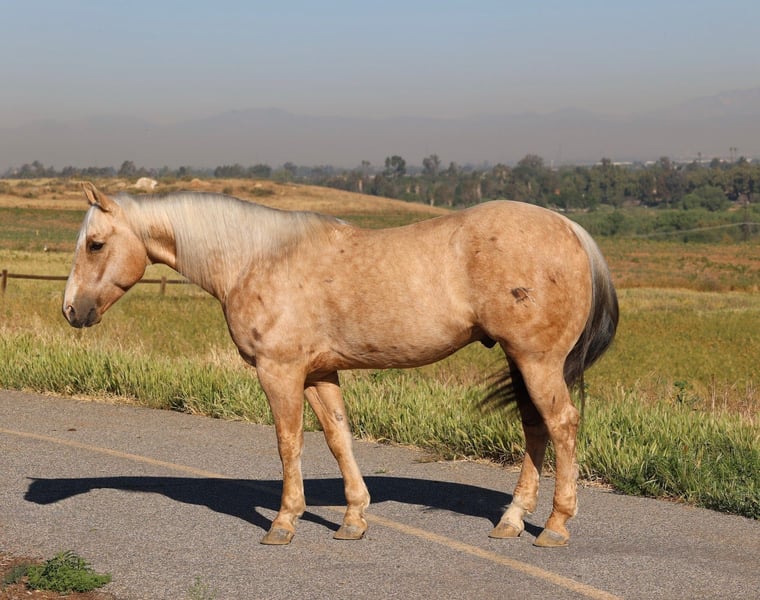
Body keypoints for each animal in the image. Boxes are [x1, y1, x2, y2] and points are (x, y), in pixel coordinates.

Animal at [63, 182, 618, 547]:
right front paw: (353, 517)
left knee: (562, 425)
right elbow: (338, 438)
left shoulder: (280, 371)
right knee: (535, 429)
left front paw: (284, 522)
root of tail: (571, 228)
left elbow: (288, 443)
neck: (255, 259)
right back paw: (512, 519)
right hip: (521, 361)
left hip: (537, 361)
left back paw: (555, 526)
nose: (71, 310)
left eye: (95, 244)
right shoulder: (319, 373)